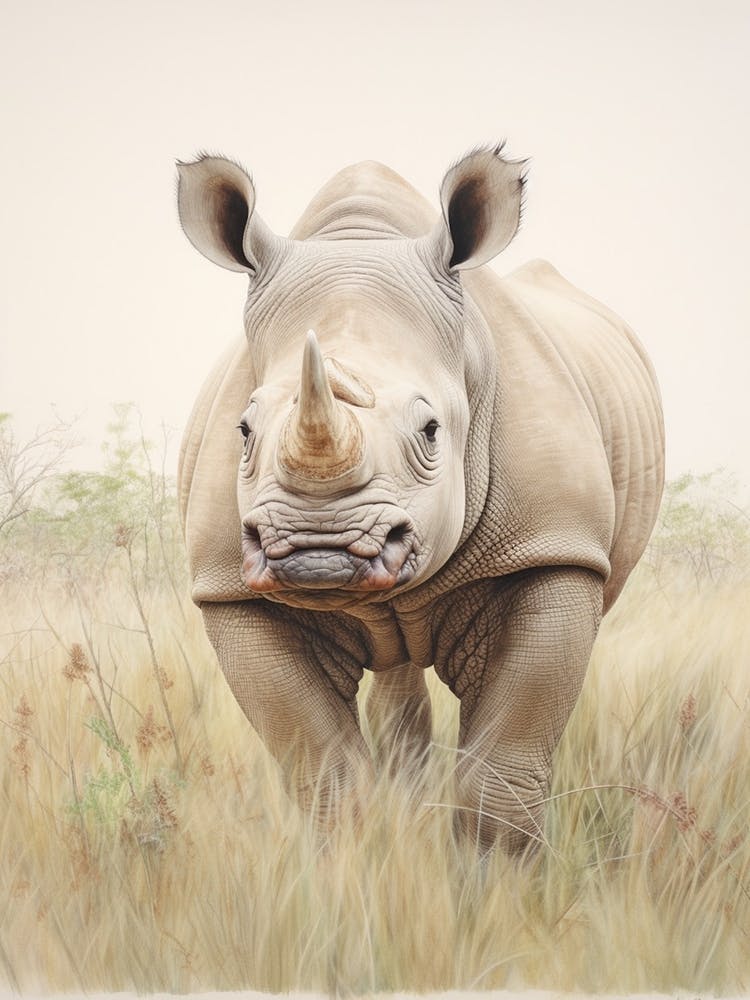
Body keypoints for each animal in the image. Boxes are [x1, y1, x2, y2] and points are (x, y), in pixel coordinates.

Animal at [176, 145, 664, 853]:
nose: (318, 549)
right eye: (243, 431)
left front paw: (493, 880)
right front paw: (350, 865)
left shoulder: (553, 547)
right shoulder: (229, 587)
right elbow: (323, 769)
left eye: (432, 430)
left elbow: (501, 774)